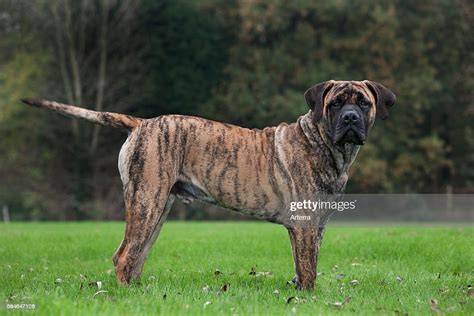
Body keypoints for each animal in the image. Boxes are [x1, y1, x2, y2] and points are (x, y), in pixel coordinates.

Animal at [25, 79, 396, 292]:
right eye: (335, 104)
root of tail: (141, 123)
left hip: (157, 207)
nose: (350, 118)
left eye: (363, 102)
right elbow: (307, 269)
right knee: (124, 255)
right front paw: (306, 298)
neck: (325, 144)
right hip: (147, 201)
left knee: (137, 257)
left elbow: (308, 264)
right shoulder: (304, 226)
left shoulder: (316, 226)